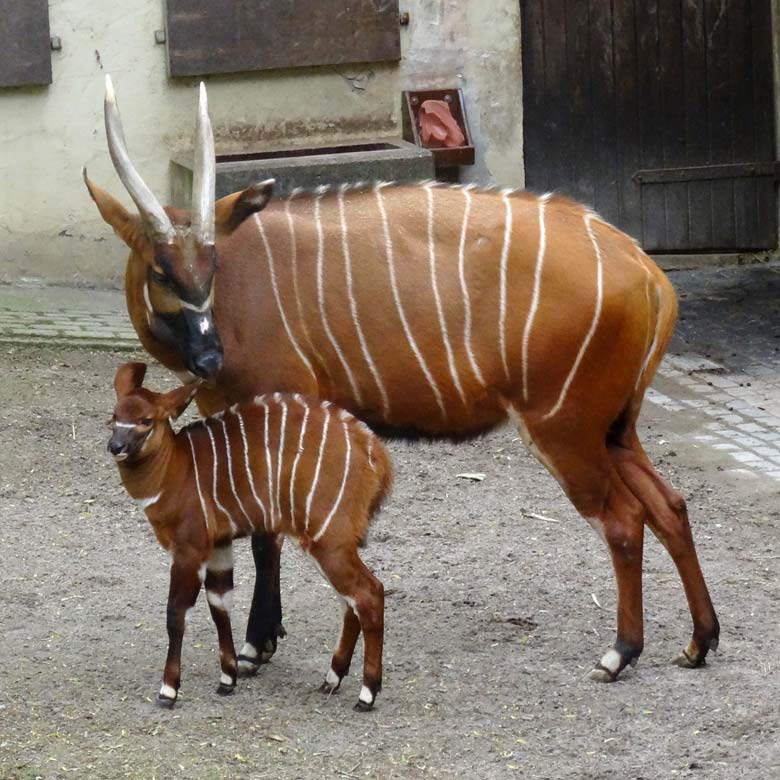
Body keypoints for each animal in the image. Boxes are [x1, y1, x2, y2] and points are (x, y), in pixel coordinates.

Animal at [108, 362, 390, 708]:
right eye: (114, 417)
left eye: (146, 420)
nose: (116, 447)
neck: (177, 469)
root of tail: (377, 456)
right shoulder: (219, 546)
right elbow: (220, 605)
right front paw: (227, 679)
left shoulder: (189, 548)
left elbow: (176, 613)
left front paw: (168, 690)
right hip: (328, 543)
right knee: (349, 600)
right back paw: (331, 679)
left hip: (329, 540)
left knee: (369, 593)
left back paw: (367, 694)